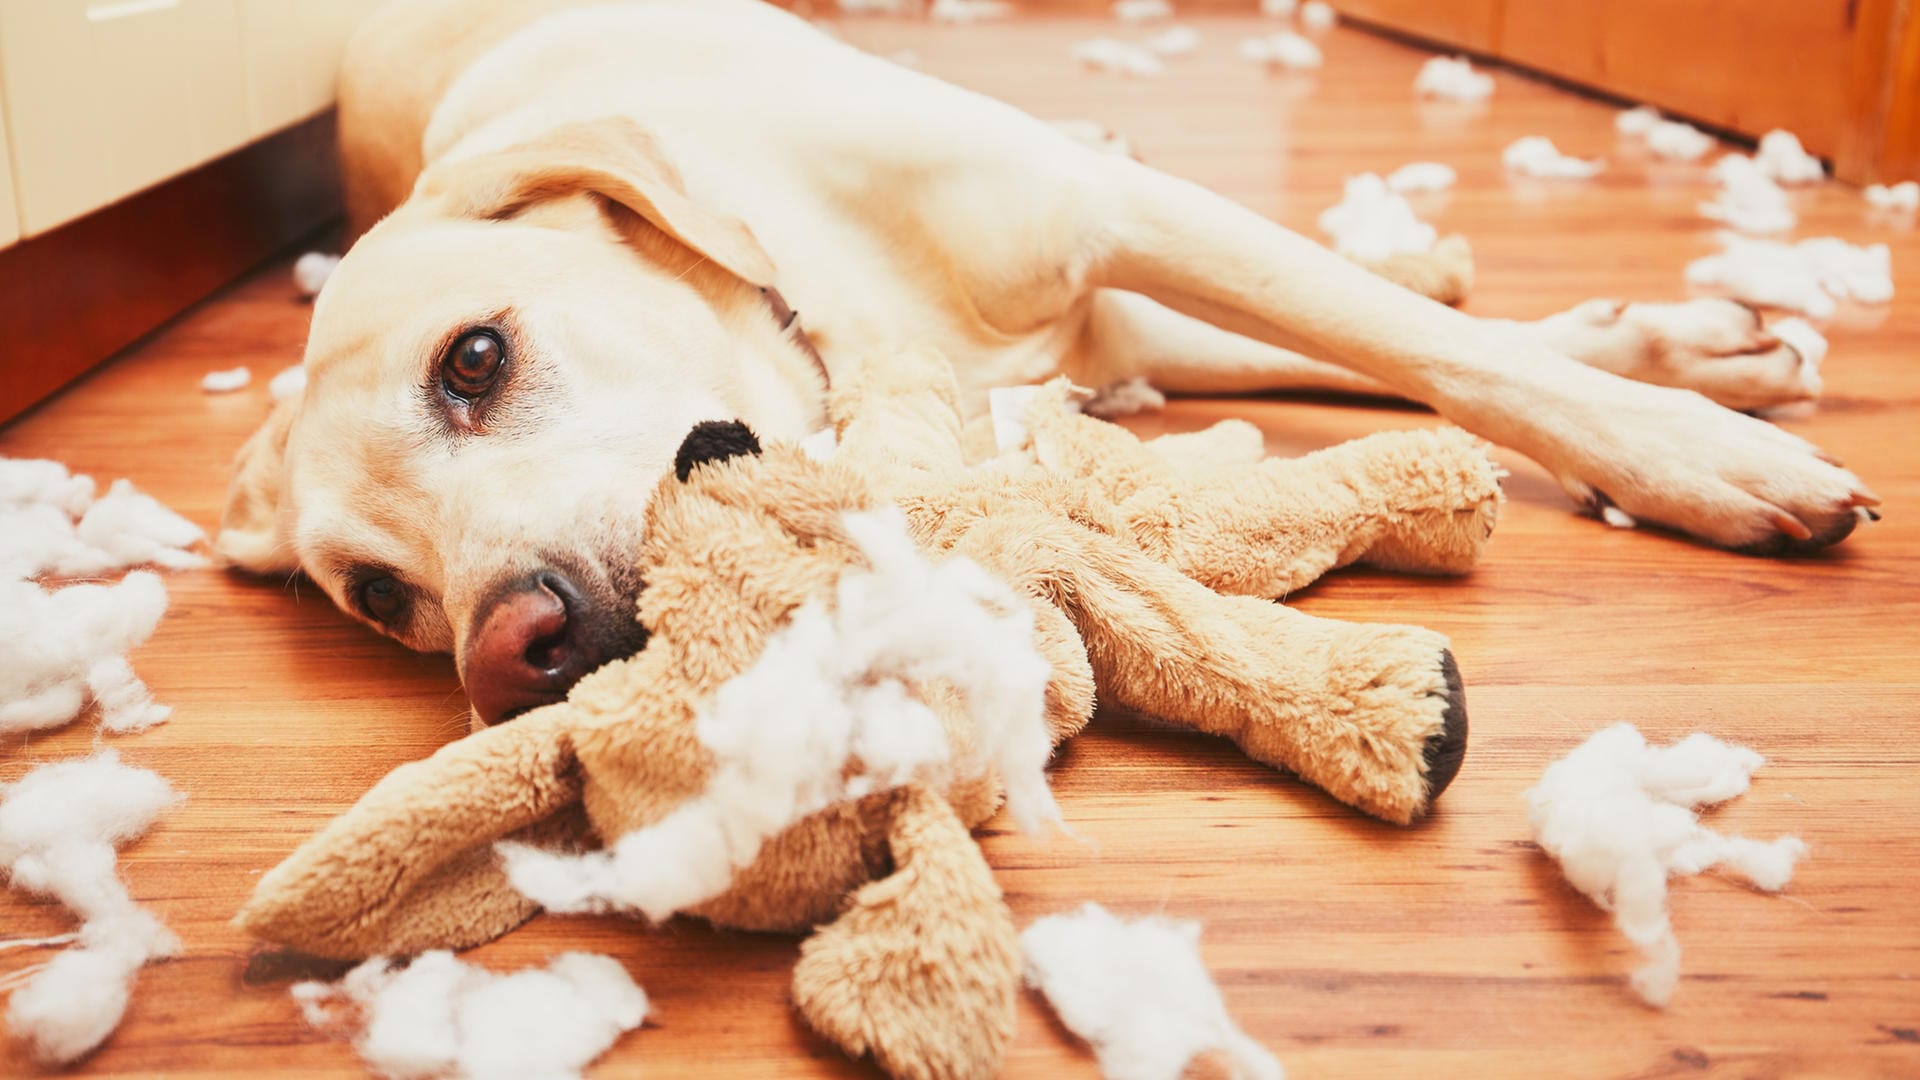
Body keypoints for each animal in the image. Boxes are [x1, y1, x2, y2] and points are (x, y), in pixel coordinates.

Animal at [217, 0, 1866, 722]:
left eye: (474, 361)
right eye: (381, 602)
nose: (512, 651)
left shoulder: (1114, 226)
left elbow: (1436, 353)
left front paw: (1694, 450)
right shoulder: (1112, 312)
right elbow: (1391, 355)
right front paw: (1688, 381)